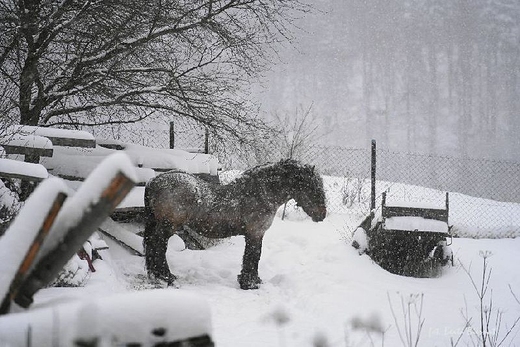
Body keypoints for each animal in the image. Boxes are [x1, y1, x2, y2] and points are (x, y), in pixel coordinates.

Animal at [143, 159, 324, 290]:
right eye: (312, 187)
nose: (322, 215)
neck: (260, 194)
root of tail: (154, 181)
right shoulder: (255, 234)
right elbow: (253, 256)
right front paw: (250, 284)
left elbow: (252, 257)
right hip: (167, 227)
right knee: (158, 247)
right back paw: (166, 277)